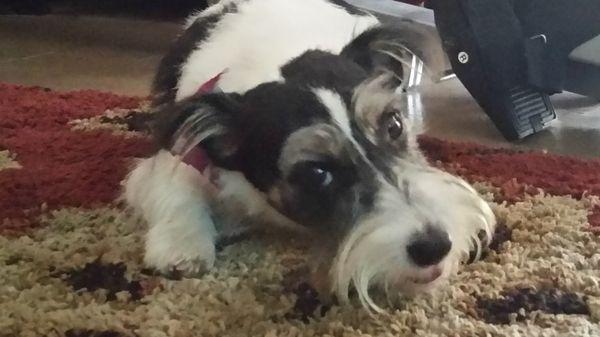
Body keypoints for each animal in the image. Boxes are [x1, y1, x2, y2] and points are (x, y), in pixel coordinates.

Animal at [123, 0, 496, 310]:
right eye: (317, 173)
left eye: (393, 125)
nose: (435, 246)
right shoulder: (178, 147)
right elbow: (173, 187)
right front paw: (181, 243)